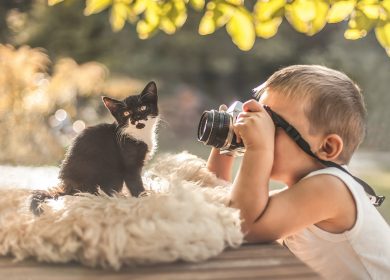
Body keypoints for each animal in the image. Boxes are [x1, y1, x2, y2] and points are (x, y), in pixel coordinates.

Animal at [30, 81, 158, 214]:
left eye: (143, 108)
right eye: (126, 113)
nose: (136, 118)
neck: (138, 134)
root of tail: (67, 188)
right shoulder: (129, 164)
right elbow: (135, 183)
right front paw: (144, 199)